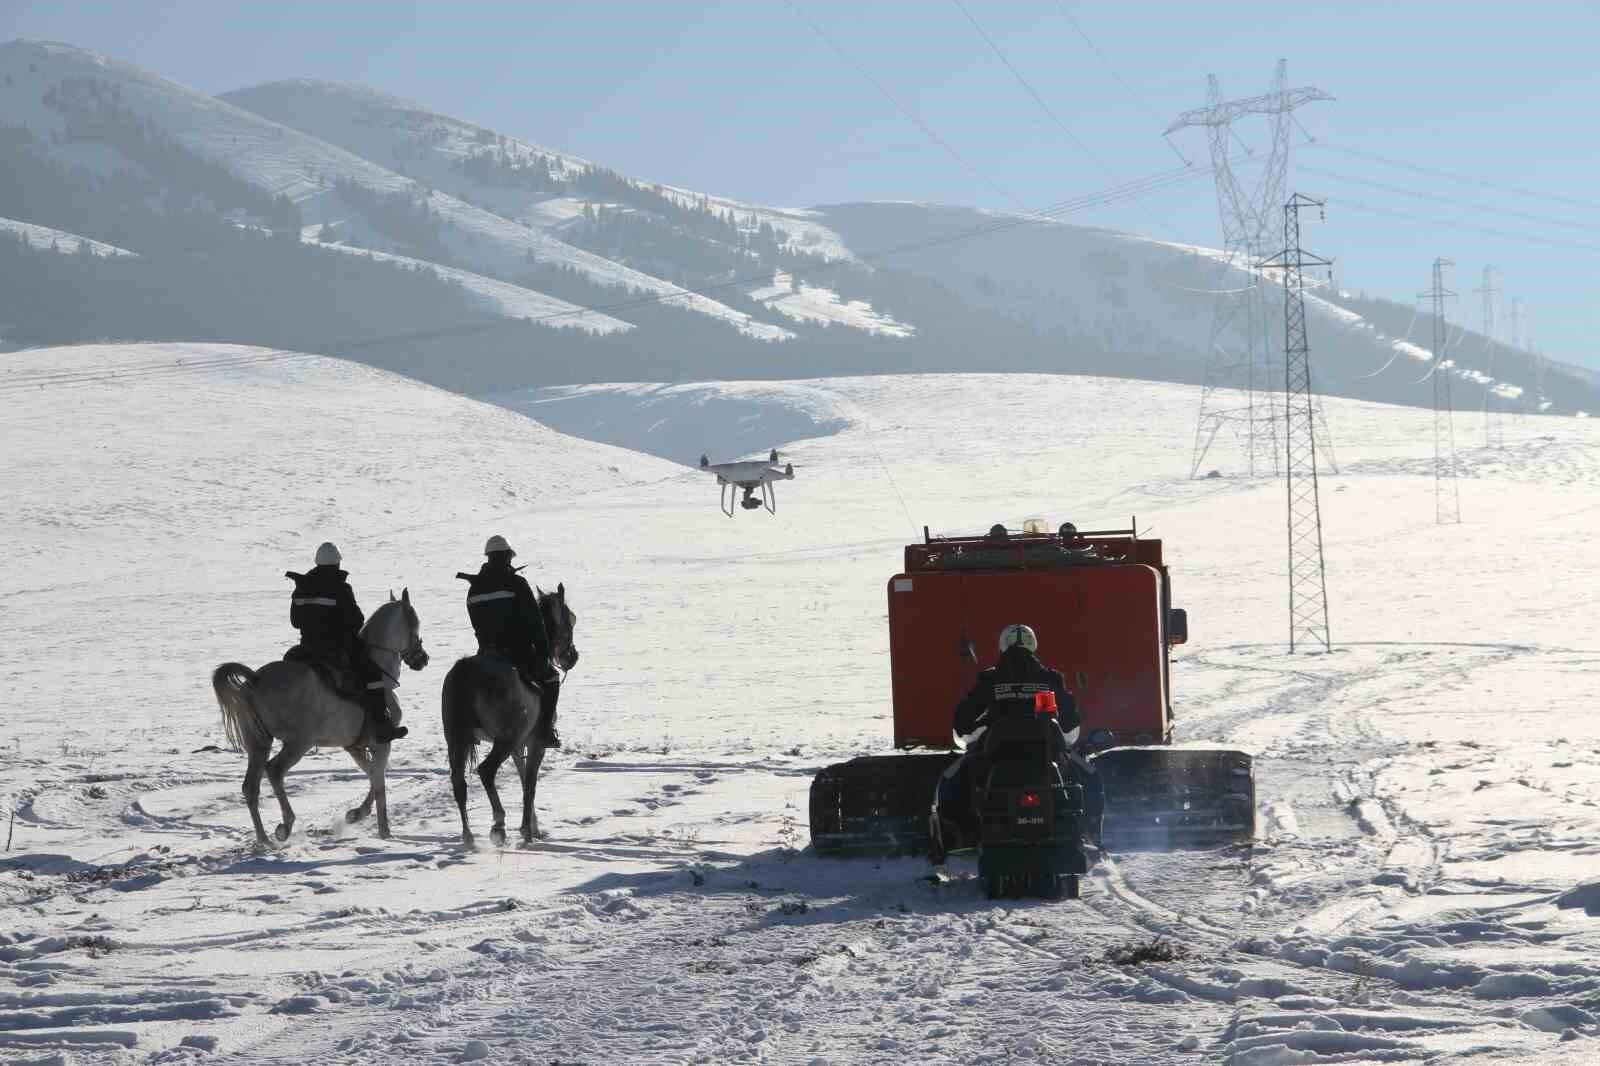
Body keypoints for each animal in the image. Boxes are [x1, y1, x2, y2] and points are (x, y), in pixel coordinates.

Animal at [209, 589, 428, 838]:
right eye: (415, 623)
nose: (423, 658)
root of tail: (256, 679)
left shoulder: (353, 746)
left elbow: (373, 774)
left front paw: (357, 813)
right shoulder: (381, 742)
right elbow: (379, 779)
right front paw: (384, 830)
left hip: (258, 743)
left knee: (250, 787)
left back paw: (264, 840)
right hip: (298, 742)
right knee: (274, 770)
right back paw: (285, 825)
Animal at [441, 585, 579, 845]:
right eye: (570, 620)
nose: (572, 656)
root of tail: (467, 669)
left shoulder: (518, 746)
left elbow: (524, 779)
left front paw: (534, 826)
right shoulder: (534, 743)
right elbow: (530, 785)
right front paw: (527, 830)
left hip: (456, 739)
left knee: (458, 782)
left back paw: (468, 835)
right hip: (505, 739)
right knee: (486, 771)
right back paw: (498, 824)